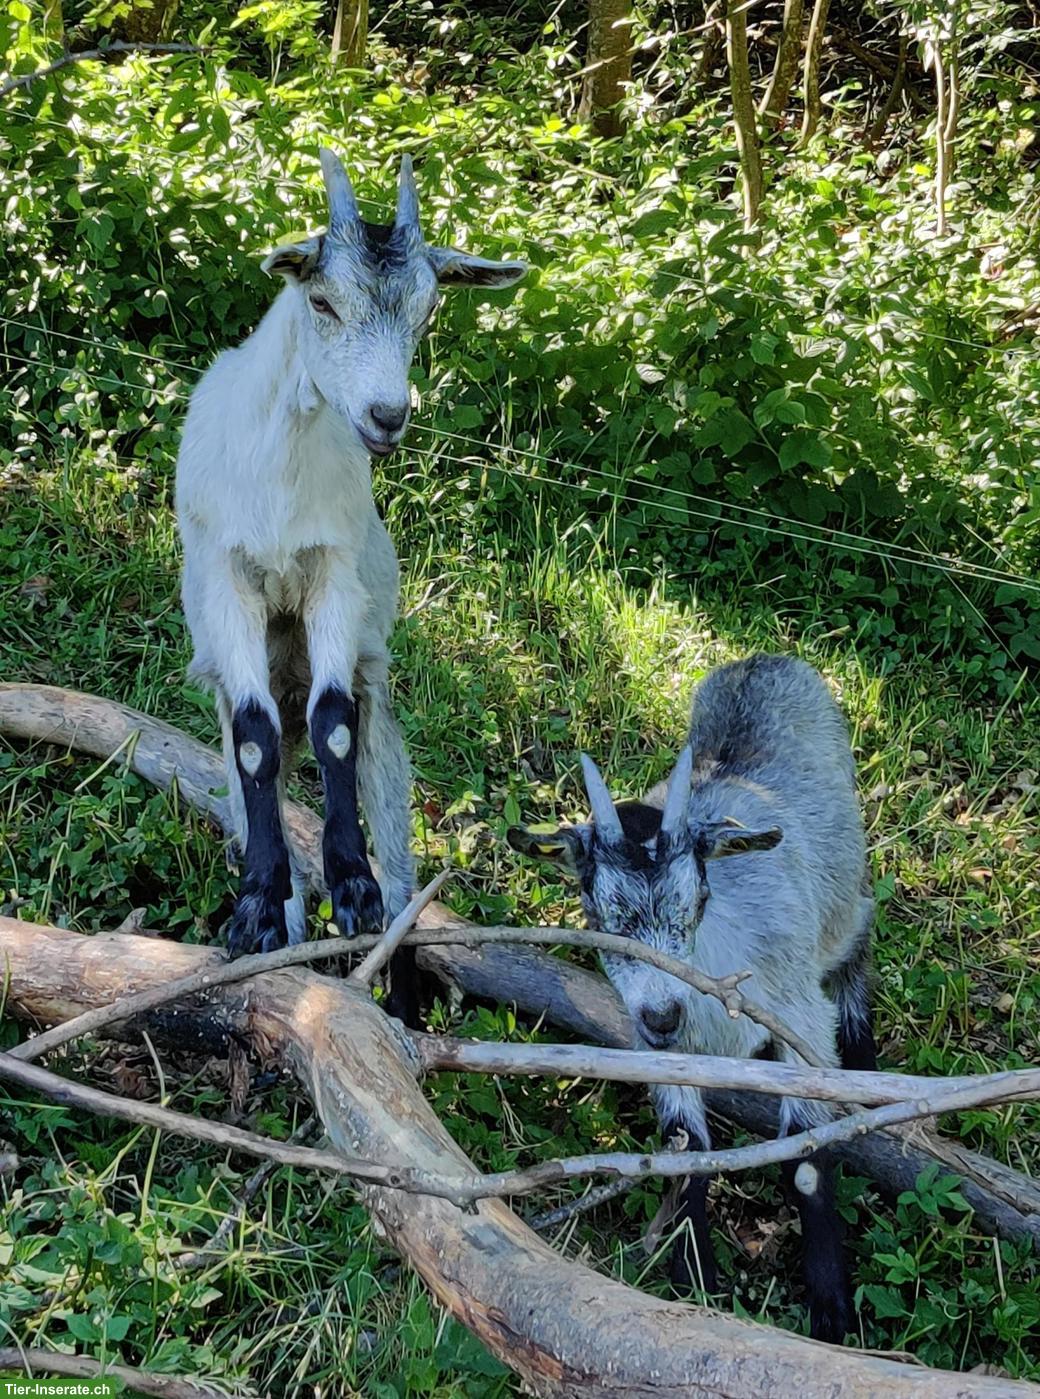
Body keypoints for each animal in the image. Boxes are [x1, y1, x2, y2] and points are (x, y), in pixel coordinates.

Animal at [175, 149, 526, 1023]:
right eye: (322, 301)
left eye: (428, 314)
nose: (388, 415)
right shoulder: (228, 578)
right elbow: (258, 739)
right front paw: (258, 907)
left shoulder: (333, 574)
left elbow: (333, 722)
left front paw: (354, 886)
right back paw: (284, 931)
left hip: (387, 731)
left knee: (401, 866)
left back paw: (391, 993)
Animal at [508, 652, 876, 1342]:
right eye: (596, 908)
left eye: (697, 898)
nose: (662, 1013)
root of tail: (763, 659)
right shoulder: (662, 1050)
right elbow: (688, 1151)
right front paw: (697, 1283)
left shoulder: (798, 1014)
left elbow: (805, 1158)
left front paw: (831, 1310)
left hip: (848, 895)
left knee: (857, 950)